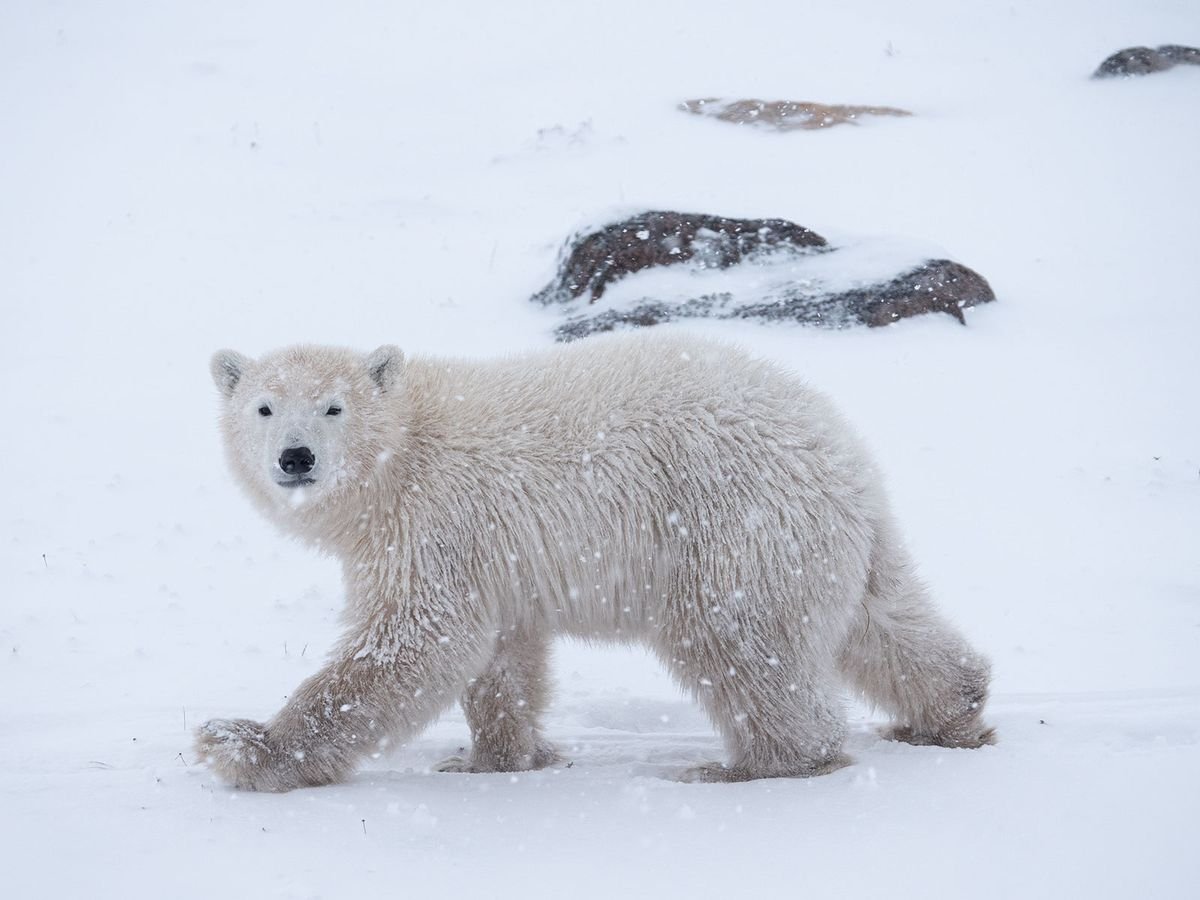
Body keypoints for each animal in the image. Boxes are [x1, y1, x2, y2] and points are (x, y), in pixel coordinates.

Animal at [199, 331, 993, 787]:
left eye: (333, 407)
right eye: (264, 407)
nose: (295, 458)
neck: (399, 456)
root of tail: (841, 454)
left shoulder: (432, 519)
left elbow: (416, 640)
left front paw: (246, 747)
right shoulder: (491, 554)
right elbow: (502, 656)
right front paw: (493, 759)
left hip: (730, 528)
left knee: (739, 642)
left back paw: (748, 766)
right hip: (820, 541)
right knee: (881, 620)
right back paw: (949, 711)